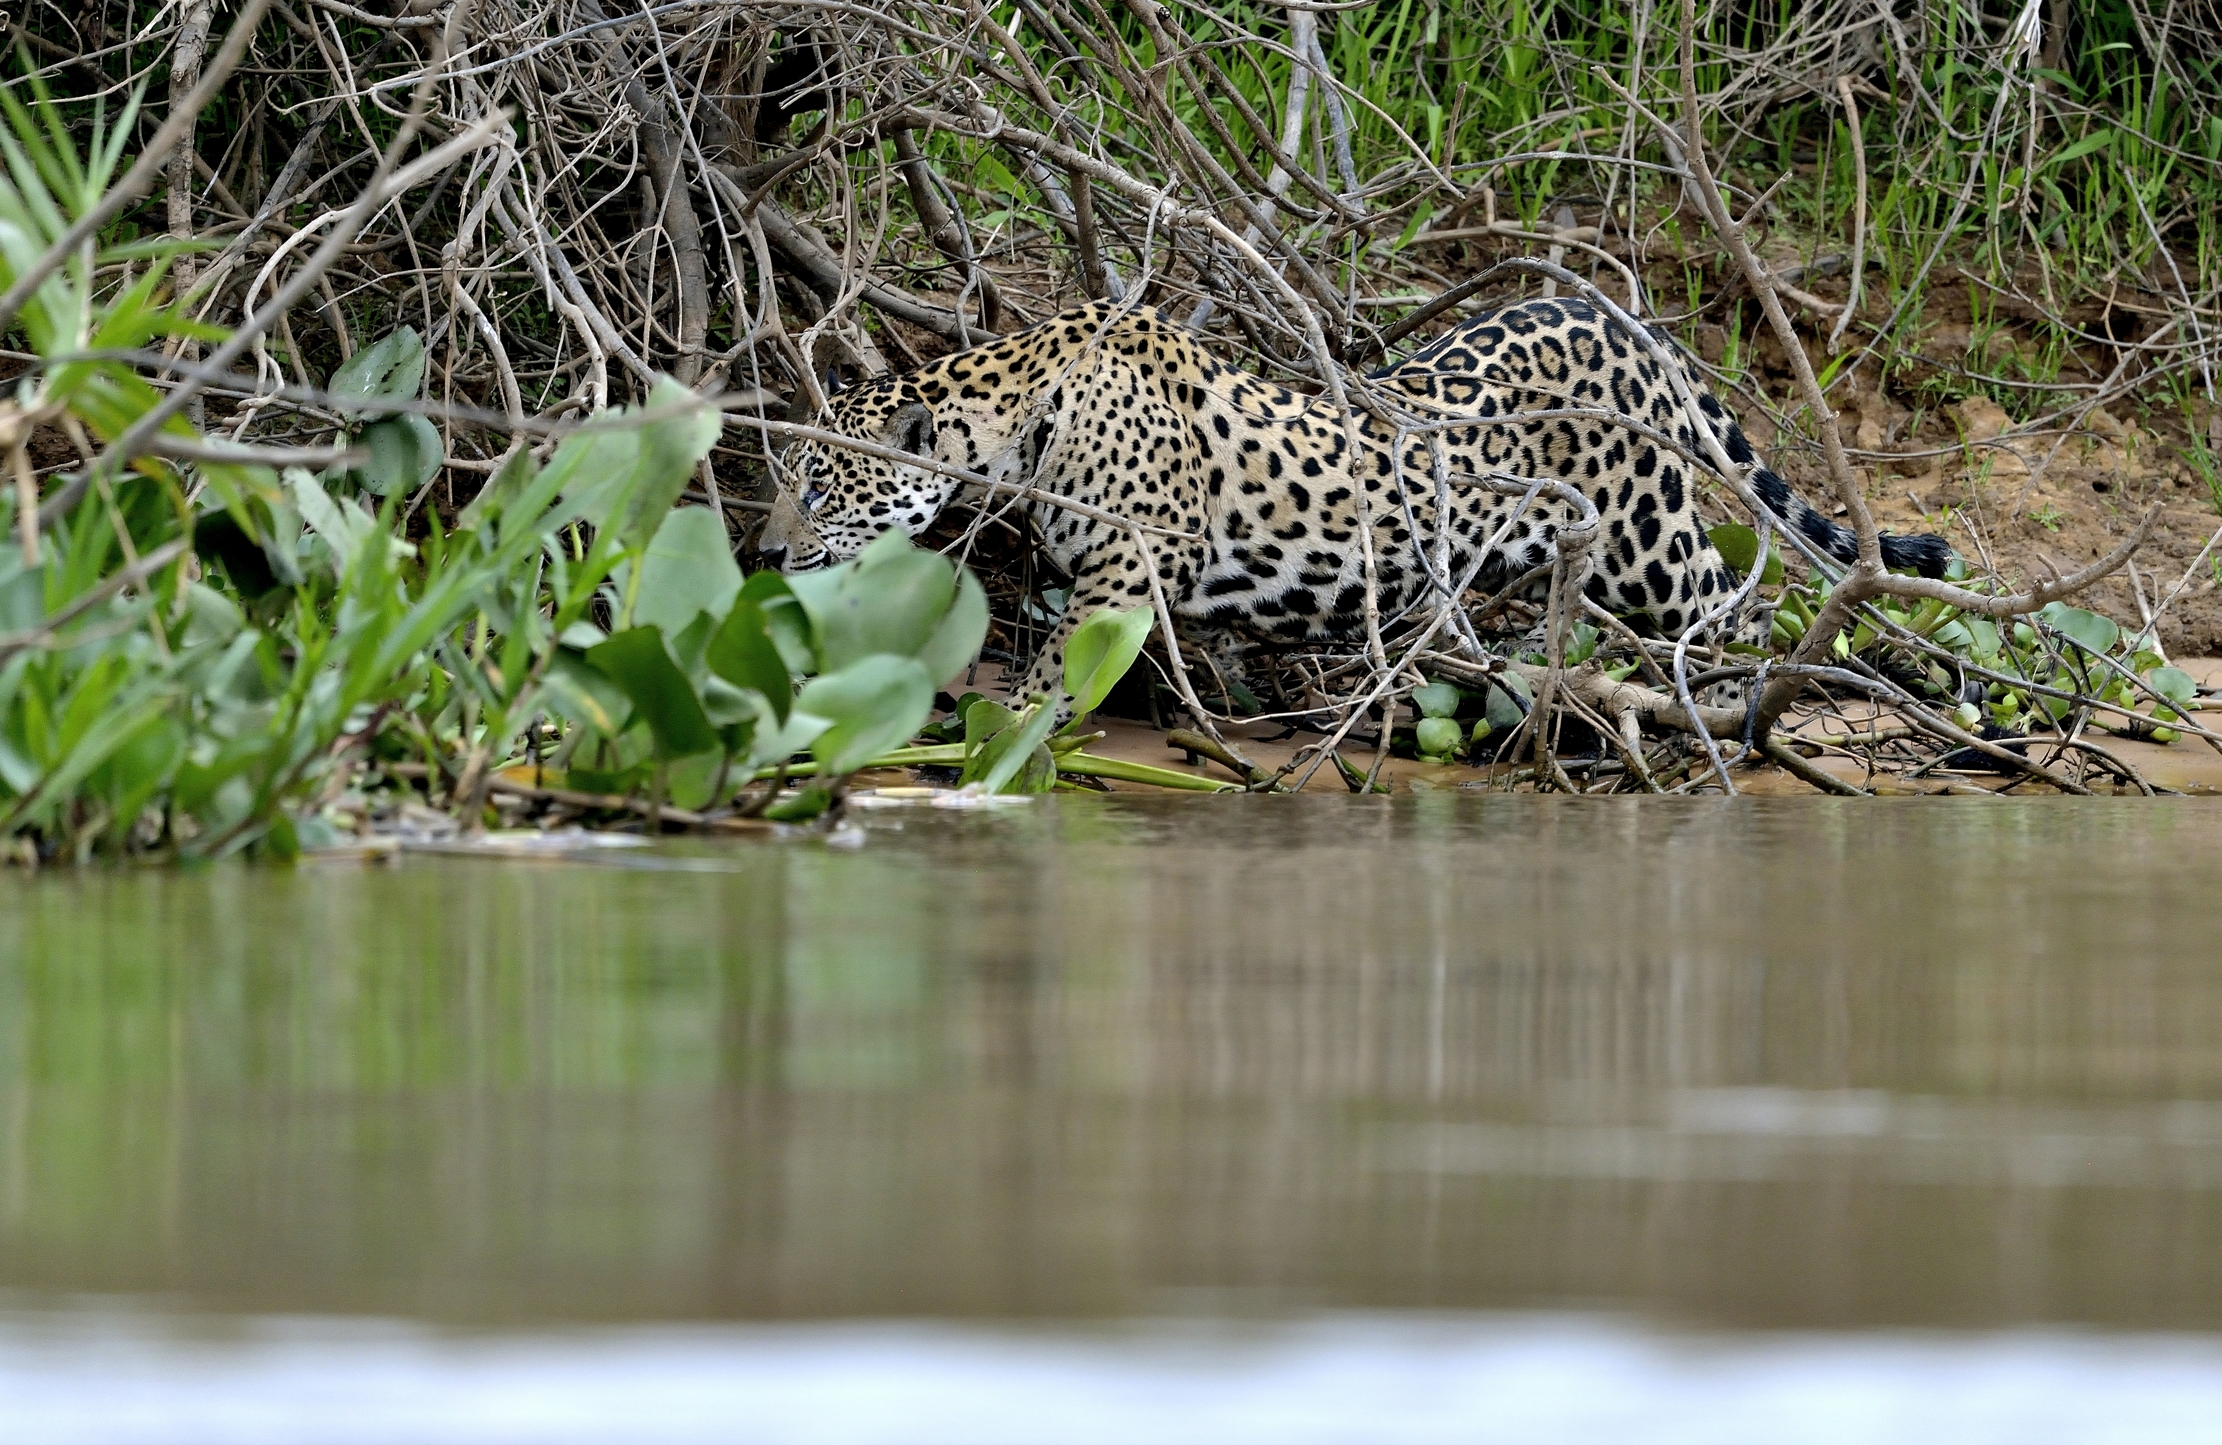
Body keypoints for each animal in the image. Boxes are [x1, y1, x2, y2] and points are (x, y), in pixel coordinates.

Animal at [757, 295, 1951, 710]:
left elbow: (1052, 680)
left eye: (816, 484)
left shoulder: (1124, 572)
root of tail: (1620, 314)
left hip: (1651, 543)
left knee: (1749, 604)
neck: (1018, 422)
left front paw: (1002, 737)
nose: (763, 555)